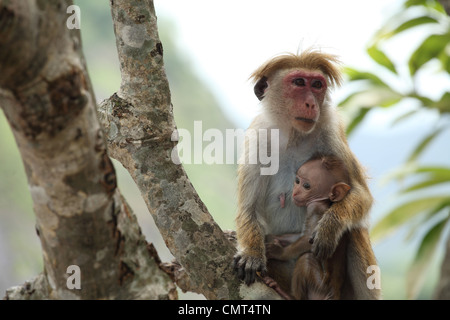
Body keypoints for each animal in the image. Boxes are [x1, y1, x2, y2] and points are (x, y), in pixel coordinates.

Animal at [268, 154, 352, 300]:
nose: (295, 193)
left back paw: (289, 296)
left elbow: (308, 240)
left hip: (320, 289)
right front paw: (272, 237)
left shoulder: (315, 209)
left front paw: (280, 252)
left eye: (306, 186)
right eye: (297, 181)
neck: (323, 201)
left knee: (306, 260)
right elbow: (301, 235)